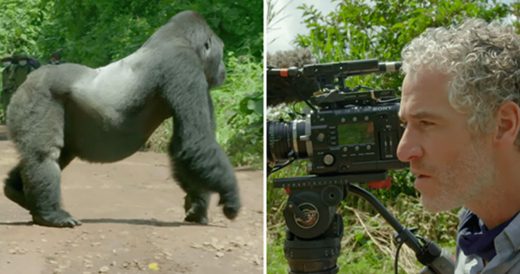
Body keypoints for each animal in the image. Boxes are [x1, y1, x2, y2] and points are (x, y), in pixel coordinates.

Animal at [4, 10, 241, 228]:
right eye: (220, 52)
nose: (224, 70)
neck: (178, 38)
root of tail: (27, 80)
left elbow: (184, 146)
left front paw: (198, 205)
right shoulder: (185, 66)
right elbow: (195, 142)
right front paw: (230, 196)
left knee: (58, 154)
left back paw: (19, 194)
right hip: (38, 96)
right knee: (45, 155)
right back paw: (51, 214)